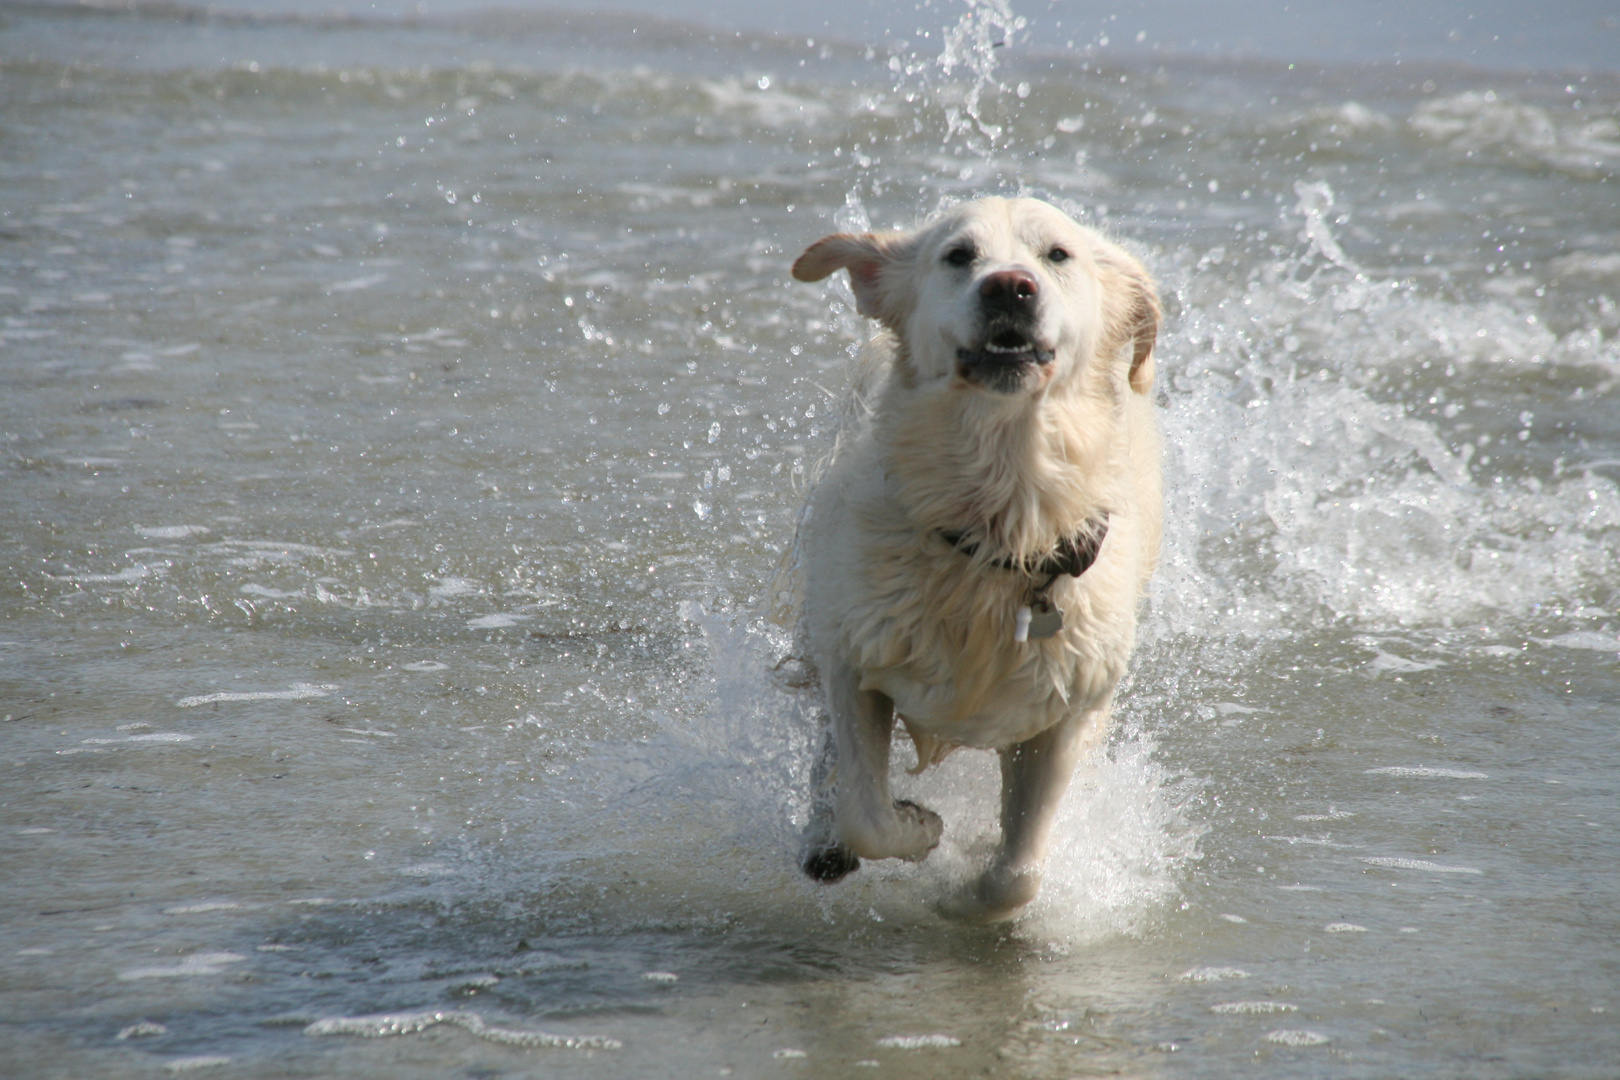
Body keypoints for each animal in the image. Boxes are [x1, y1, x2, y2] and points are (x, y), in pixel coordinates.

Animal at [790, 196, 1159, 919]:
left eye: (1058, 254)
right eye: (959, 255)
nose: (1009, 286)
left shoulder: (1066, 713)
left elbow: (1018, 873)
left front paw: (965, 895)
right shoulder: (854, 657)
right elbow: (865, 812)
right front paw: (918, 829)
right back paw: (823, 838)